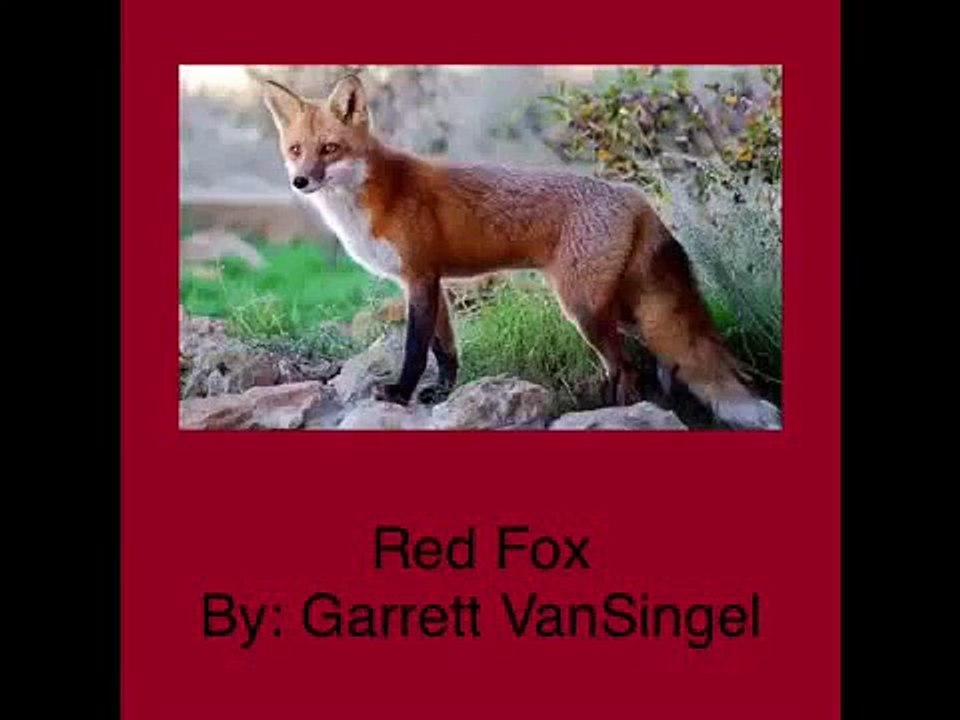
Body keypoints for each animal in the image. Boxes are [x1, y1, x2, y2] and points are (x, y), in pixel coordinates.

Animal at [260, 73, 781, 429]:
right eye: (295, 150)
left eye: (329, 148)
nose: (300, 181)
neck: (375, 195)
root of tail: (634, 196)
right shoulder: (431, 282)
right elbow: (446, 350)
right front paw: (440, 394)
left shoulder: (419, 279)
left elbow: (414, 349)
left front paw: (400, 394)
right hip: (622, 310)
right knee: (658, 364)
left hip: (585, 310)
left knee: (628, 369)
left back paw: (616, 413)